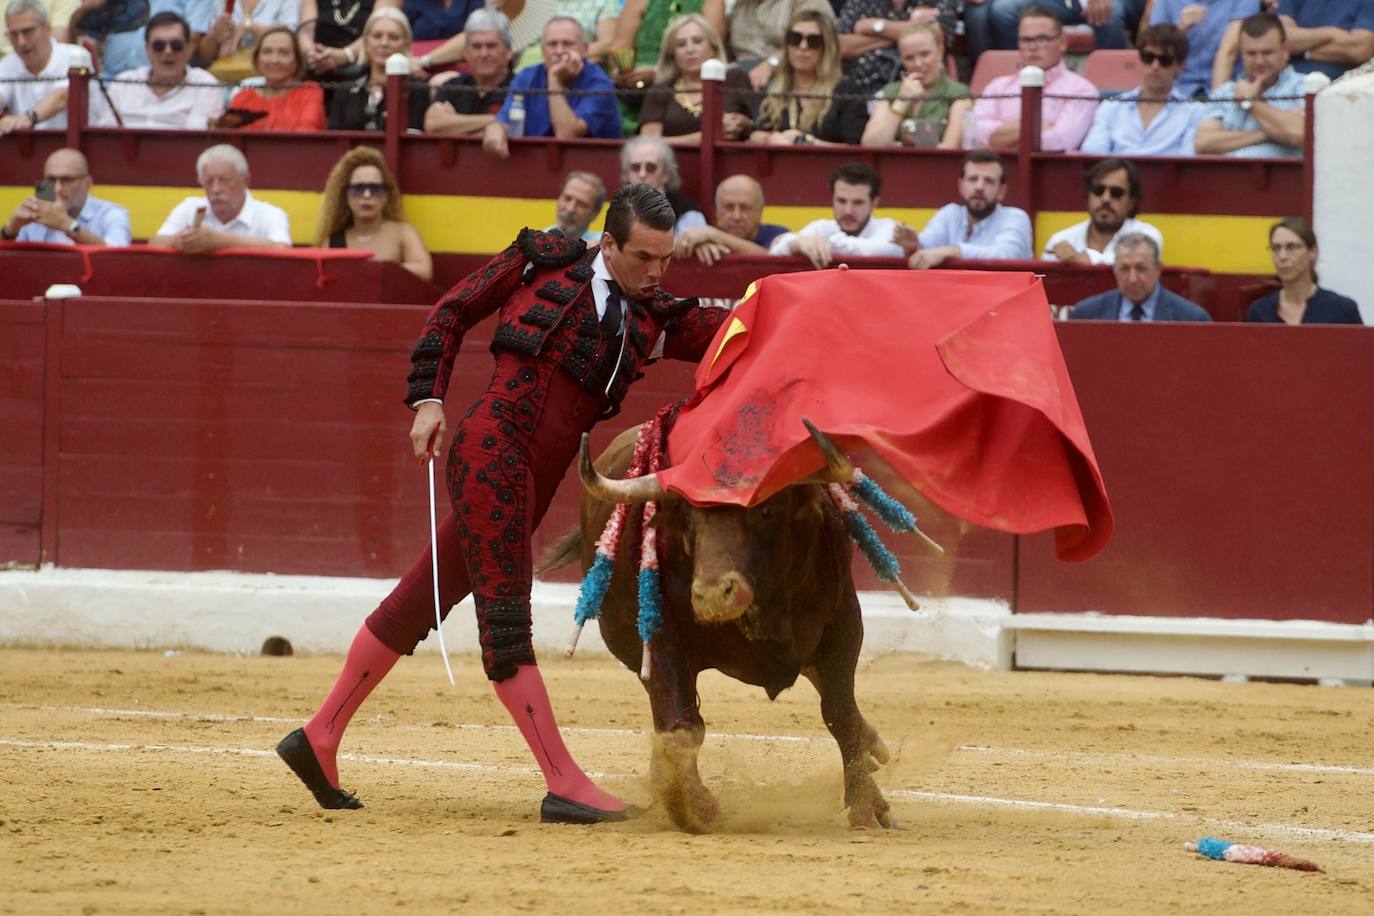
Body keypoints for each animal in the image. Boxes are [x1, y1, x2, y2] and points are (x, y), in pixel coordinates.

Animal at [535, 420, 890, 829]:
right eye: (689, 518)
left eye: (766, 510)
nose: (714, 594)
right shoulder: (661, 636)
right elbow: (683, 726)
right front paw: (695, 807)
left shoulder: (843, 621)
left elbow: (840, 713)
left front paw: (864, 808)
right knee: (668, 716)